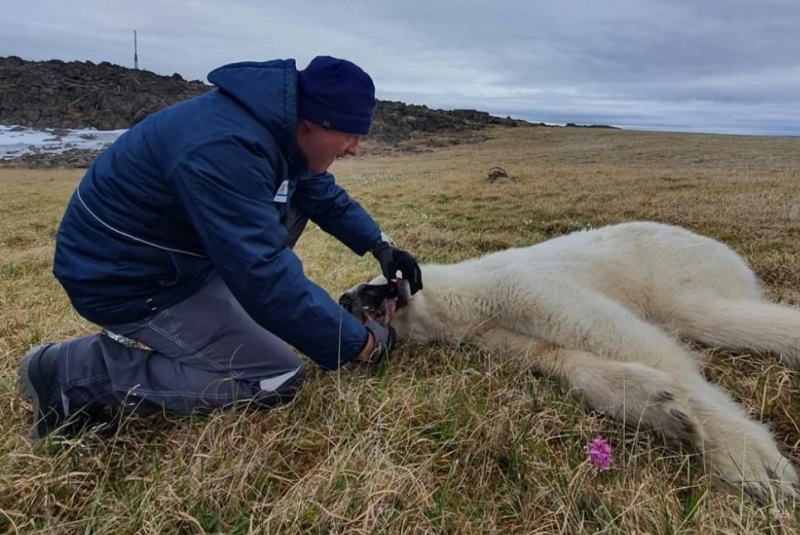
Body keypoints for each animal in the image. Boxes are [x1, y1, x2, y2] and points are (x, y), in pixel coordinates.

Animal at [340, 221, 800, 502]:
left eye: (370, 283)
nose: (345, 298)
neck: (462, 298)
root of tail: (728, 254)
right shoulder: (492, 333)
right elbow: (557, 357)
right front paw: (660, 407)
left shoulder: (516, 287)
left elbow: (614, 334)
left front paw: (750, 461)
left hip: (674, 268)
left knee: (709, 313)